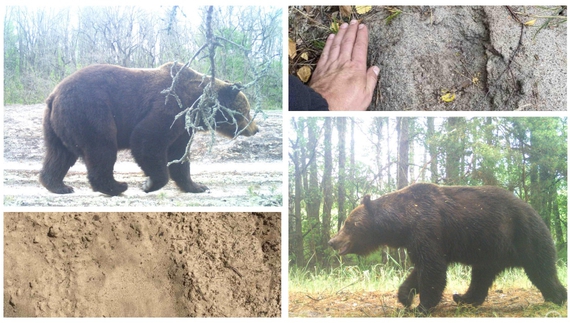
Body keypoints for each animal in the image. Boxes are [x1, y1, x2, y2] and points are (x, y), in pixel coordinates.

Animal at [41, 62, 258, 196]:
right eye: (247, 111)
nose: (255, 129)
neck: (195, 103)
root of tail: (54, 95)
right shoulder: (169, 108)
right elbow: (147, 139)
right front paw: (149, 184)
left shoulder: (183, 128)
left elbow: (179, 157)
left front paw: (198, 186)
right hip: (91, 111)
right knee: (101, 148)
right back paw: (116, 186)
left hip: (57, 125)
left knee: (59, 154)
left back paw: (58, 185)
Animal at [326, 185, 564, 314]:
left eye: (348, 224)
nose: (332, 241)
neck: (403, 221)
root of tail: (535, 212)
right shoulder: (416, 240)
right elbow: (420, 269)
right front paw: (405, 297)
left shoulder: (428, 228)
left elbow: (433, 270)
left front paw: (421, 307)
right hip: (490, 250)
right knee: (481, 276)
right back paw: (463, 298)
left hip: (525, 237)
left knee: (542, 269)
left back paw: (558, 297)